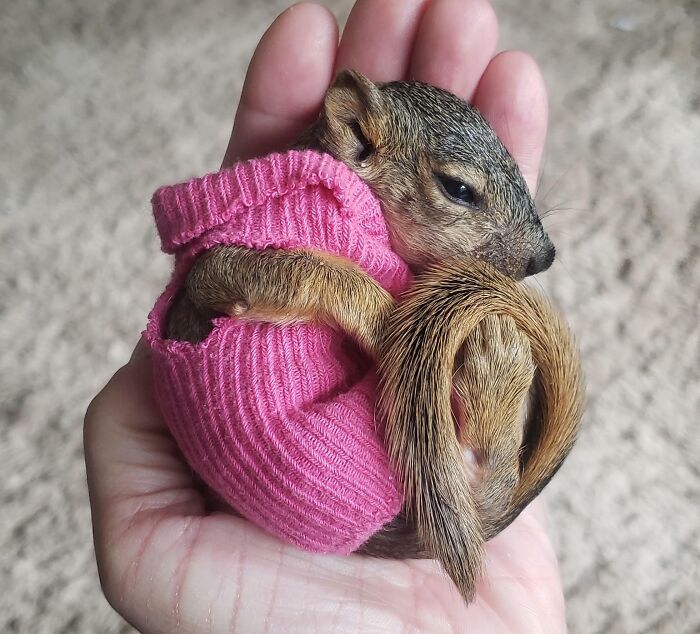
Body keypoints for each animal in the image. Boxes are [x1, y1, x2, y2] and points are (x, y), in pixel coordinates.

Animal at [167, 69, 584, 604]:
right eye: (458, 188)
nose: (544, 257)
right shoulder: (224, 271)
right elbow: (307, 277)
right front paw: (385, 314)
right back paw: (494, 356)